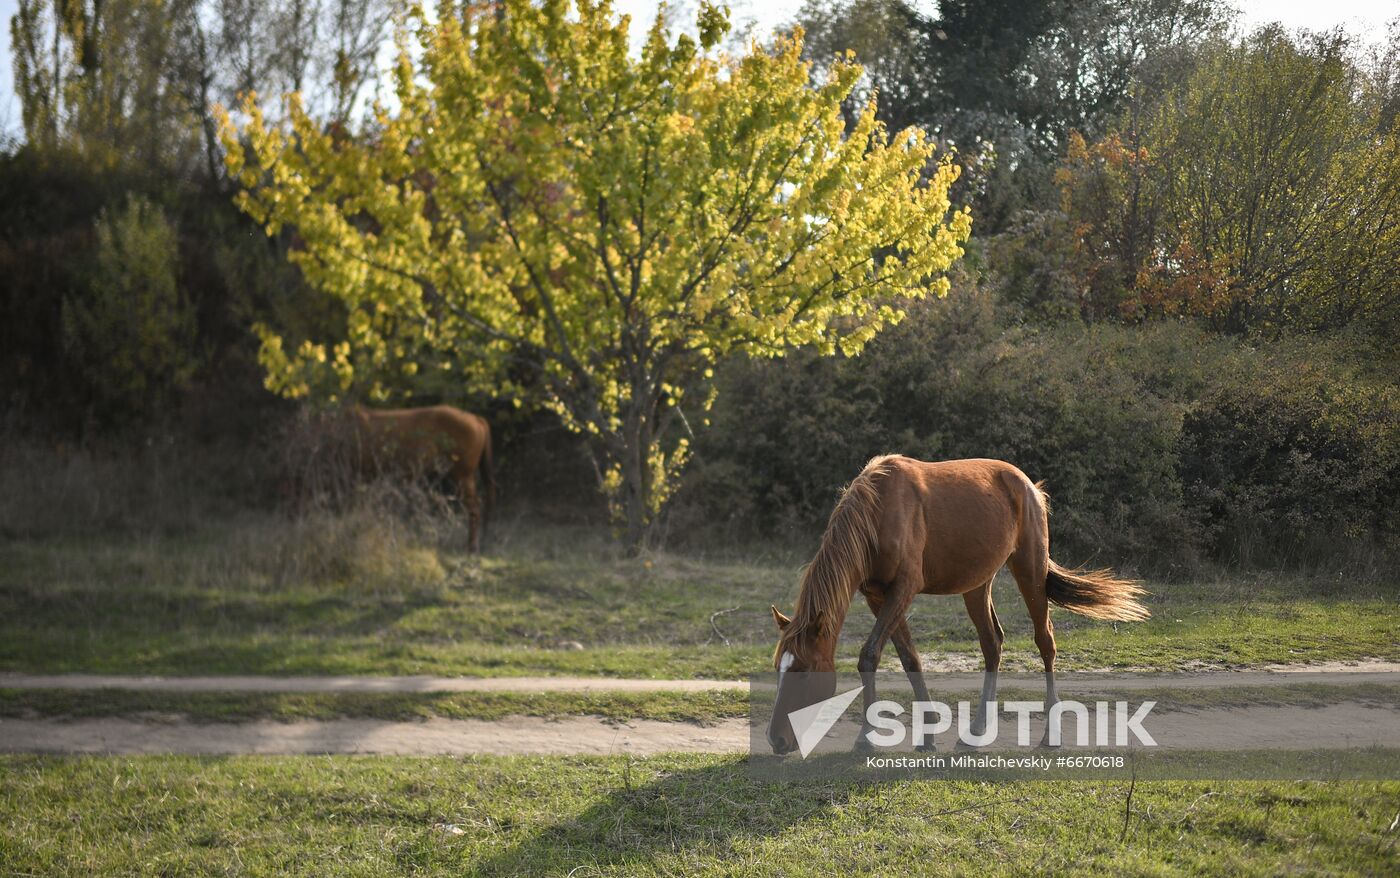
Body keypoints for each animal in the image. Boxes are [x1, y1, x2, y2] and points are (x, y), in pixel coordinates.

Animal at [767, 453, 1148, 756]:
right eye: (778, 669)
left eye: (804, 670)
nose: (776, 740)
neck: (879, 512)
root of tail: (1030, 487)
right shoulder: (878, 596)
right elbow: (909, 658)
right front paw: (928, 732)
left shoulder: (903, 589)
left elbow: (870, 655)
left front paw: (866, 739)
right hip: (977, 586)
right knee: (992, 644)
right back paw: (976, 733)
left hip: (1030, 572)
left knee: (1045, 642)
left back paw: (1050, 735)